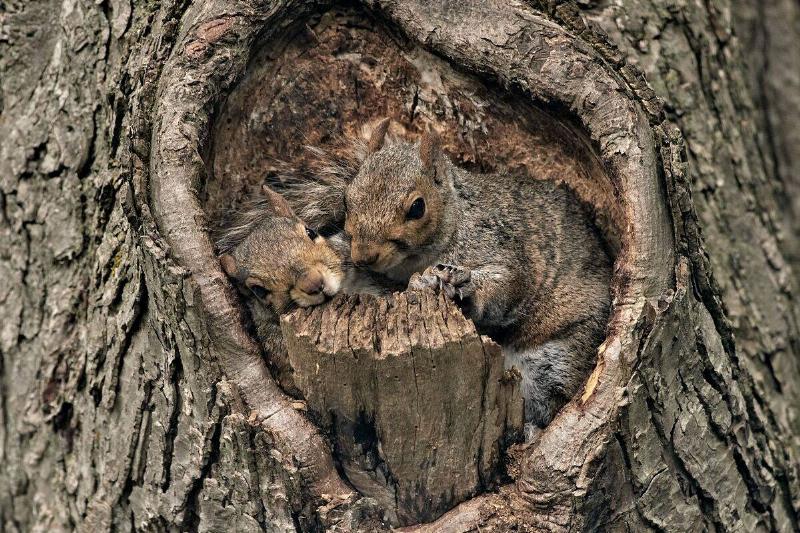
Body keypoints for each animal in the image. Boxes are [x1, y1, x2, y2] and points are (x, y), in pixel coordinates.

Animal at [334, 119, 613, 437]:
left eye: (417, 207)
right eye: (346, 199)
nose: (364, 256)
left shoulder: (499, 246)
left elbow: (508, 284)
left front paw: (462, 286)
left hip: (559, 355)